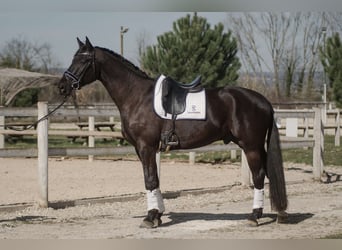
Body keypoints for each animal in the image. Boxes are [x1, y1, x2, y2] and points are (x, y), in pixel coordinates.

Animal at [58, 37, 288, 229]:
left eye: (83, 60)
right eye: (73, 58)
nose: (61, 86)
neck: (136, 96)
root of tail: (264, 102)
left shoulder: (146, 147)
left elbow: (150, 180)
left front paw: (150, 218)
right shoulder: (143, 149)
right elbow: (155, 180)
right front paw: (158, 215)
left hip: (251, 147)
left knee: (259, 176)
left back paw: (254, 216)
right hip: (257, 147)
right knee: (268, 174)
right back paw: (279, 213)